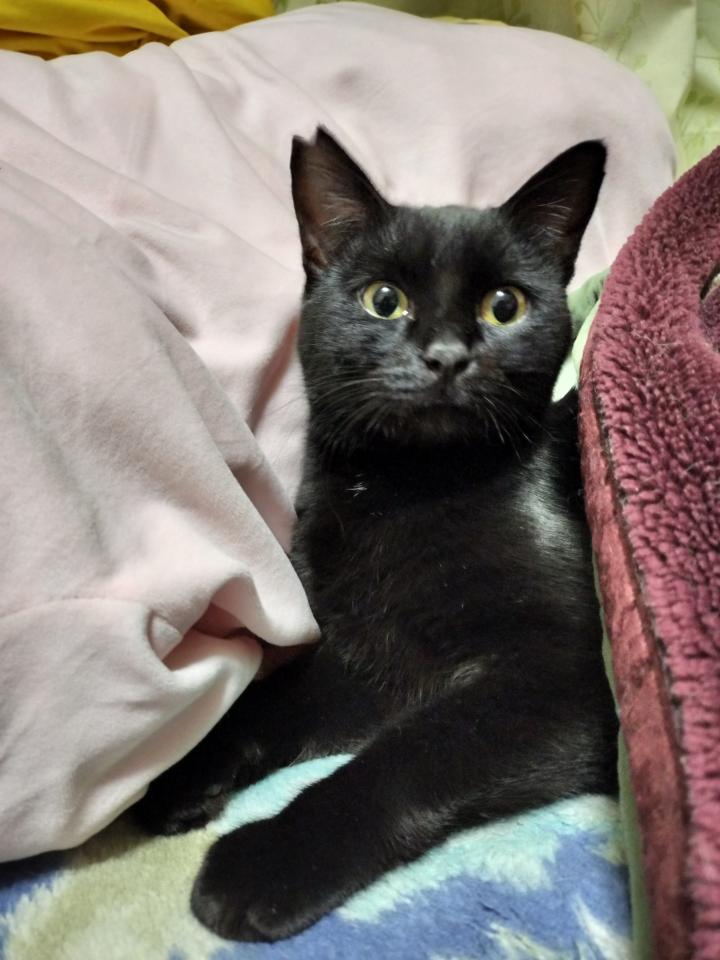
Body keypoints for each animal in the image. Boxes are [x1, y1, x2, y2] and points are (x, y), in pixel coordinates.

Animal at [136, 128, 617, 942]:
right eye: (383, 300)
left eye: (504, 305)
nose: (447, 356)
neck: (407, 492)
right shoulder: (368, 656)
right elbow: (271, 701)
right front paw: (183, 769)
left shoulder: (563, 673)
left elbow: (409, 755)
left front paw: (265, 861)